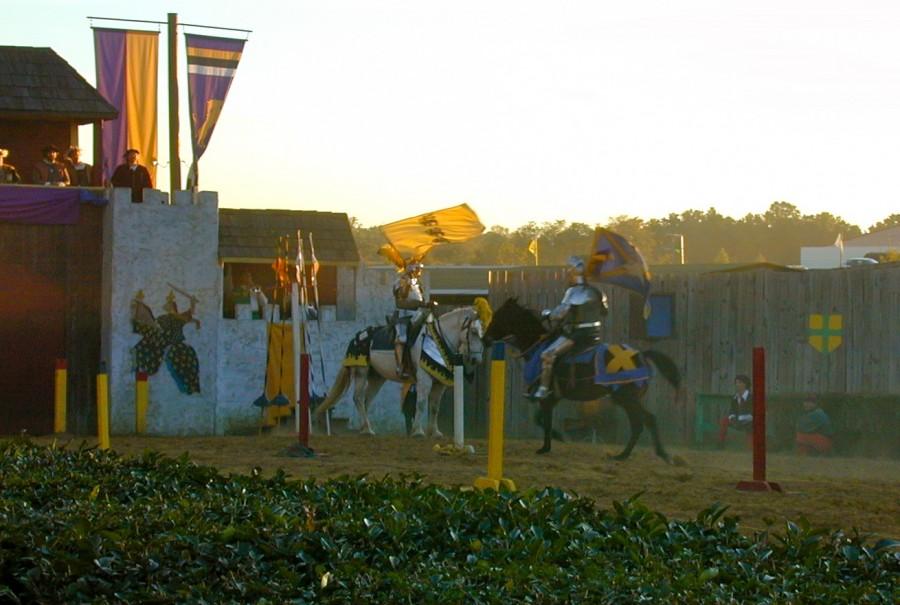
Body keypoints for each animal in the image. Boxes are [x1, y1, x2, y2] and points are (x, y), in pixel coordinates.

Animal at [314, 304, 486, 436]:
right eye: (473, 332)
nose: (476, 359)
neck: (438, 338)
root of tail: (357, 337)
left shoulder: (439, 383)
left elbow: (434, 407)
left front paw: (435, 432)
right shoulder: (424, 379)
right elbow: (421, 403)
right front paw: (418, 432)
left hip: (376, 378)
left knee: (366, 400)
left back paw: (366, 428)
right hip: (361, 372)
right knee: (358, 398)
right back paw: (367, 430)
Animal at [488, 298, 680, 462]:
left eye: (498, 316)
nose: (485, 338)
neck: (538, 347)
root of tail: (640, 355)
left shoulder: (546, 398)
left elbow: (543, 419)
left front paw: (548, 445)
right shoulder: (553, 398)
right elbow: (542, 419)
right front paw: (551, 442)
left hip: (626, 398)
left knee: (641, 423)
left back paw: (628, 455)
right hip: (629, 399)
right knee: (645, 421)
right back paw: (653, 454)